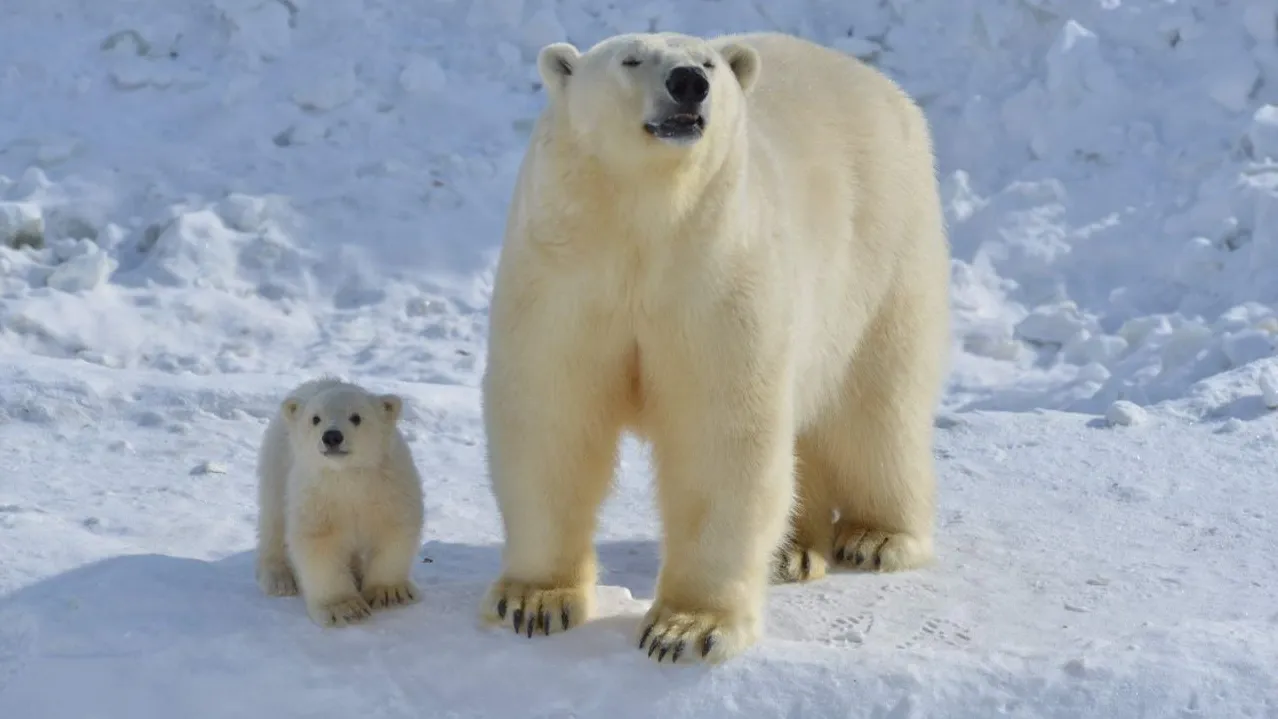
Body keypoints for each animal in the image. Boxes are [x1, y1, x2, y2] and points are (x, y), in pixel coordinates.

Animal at [480, 30, 950, 669]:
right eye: (631, 59)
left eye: (706, 62)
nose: (689, 83)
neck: (646, 220)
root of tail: (879, 84)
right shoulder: (565, 270)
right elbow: (552, 416)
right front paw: (533, 602)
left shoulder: (718, 273)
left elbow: (720, 435)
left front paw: (685, 630)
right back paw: (793, 551)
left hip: (885, 251)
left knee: (875, 406)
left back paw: (875, 536)